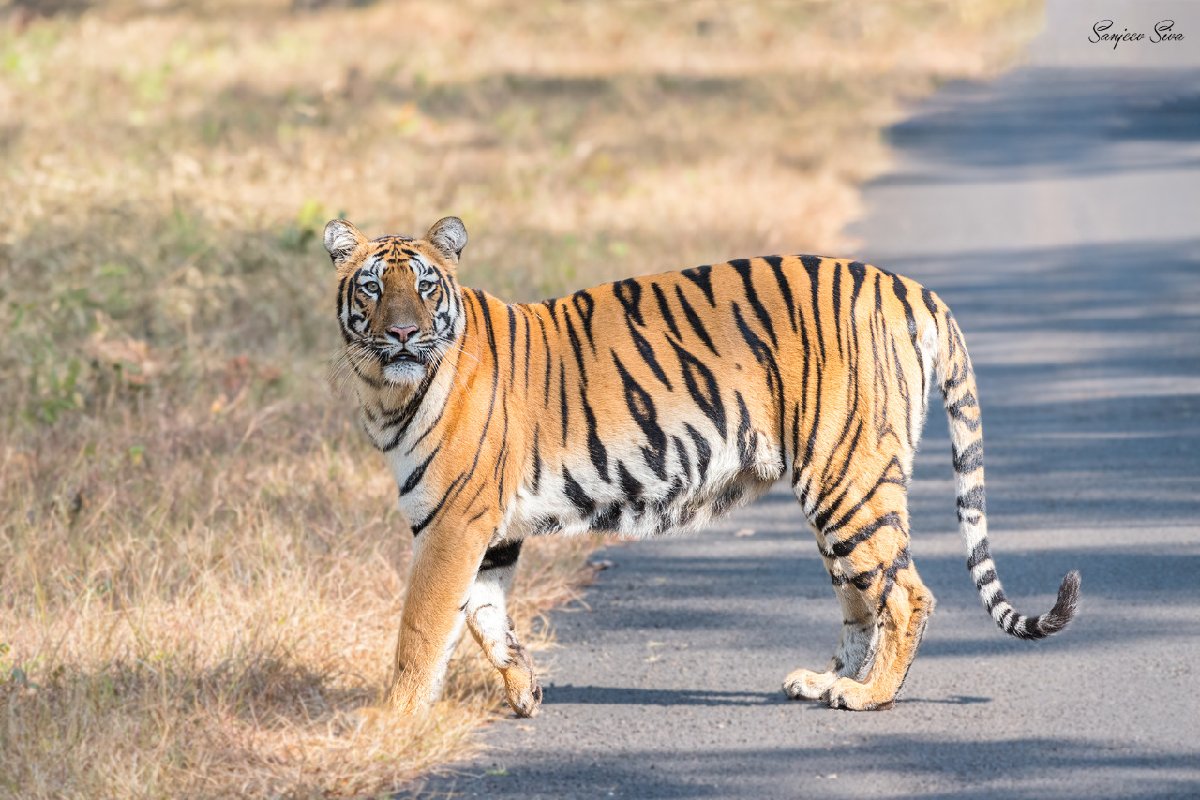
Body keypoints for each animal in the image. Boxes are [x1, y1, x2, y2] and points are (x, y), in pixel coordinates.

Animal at [326, 215, 1080, 714]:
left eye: (425, 287)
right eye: (371, 289)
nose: (402, 333)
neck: (385, 391)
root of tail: (909, 288)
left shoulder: (453, 521)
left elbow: (422, 625)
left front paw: (393, 715)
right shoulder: (490, 533)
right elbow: (486, 618)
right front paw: (524, 691)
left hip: (850, 480)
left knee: (904, 593)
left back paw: (867, 696)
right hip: (838, 498)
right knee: (862, 598)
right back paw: (826, 682)